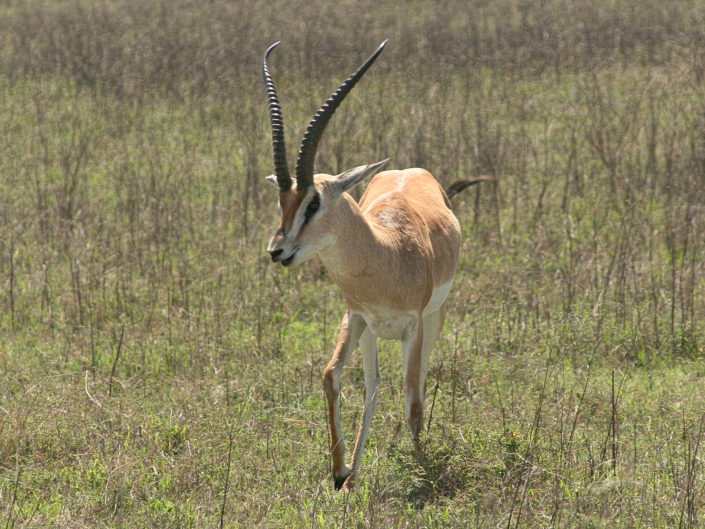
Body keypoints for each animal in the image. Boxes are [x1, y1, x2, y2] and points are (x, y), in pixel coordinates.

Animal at [262, 40, 491, 491]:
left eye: (313, 202)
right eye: (283, 201)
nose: (277, 251)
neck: (387, 256)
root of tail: (408, 168)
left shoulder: (413, 326)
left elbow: (412, 398)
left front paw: (421, 468)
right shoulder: (357, 318)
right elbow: (334, 377)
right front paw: (341, 473)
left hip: (434, 318)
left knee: (417, 380)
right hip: (375, 332)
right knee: (373, 385)